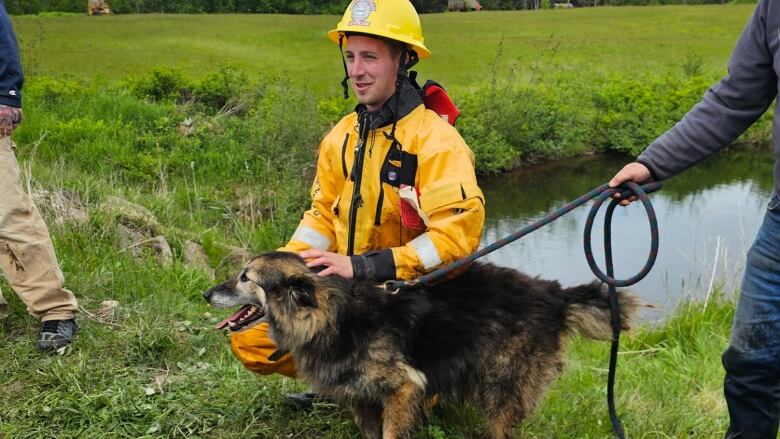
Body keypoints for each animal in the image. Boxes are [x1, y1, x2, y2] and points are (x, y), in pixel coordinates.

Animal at [204, 253, 644, 438]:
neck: (331, 318)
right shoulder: (359, 396)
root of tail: (554, 293)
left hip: (504, 385)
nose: (206, 293)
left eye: (246, 277)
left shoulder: (403, 389)